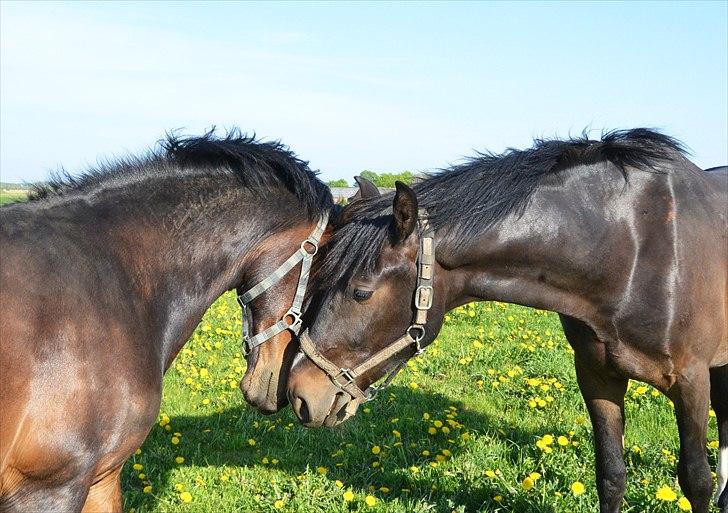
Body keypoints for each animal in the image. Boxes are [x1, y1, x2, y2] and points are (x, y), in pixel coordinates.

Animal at [288, 130, 724, 512]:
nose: (299, 394)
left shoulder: (691, 381)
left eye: (361, 292)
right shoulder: (598, 375)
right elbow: (612, 476)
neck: (633, 250)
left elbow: (696, 481)